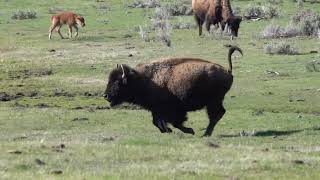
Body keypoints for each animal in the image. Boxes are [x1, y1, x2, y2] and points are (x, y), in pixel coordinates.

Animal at [105, 45, 242, 136]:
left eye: (117, 82)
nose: (106, 95)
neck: (143, 79)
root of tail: (227, 70)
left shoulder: (171, 109)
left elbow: (175, 122)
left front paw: (189, 131)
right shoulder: (156, 109)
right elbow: (157, 122)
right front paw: (168, 130)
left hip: (213, 101)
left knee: (216, 115)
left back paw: (205, 134)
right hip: (214, 102)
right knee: (218, 114)